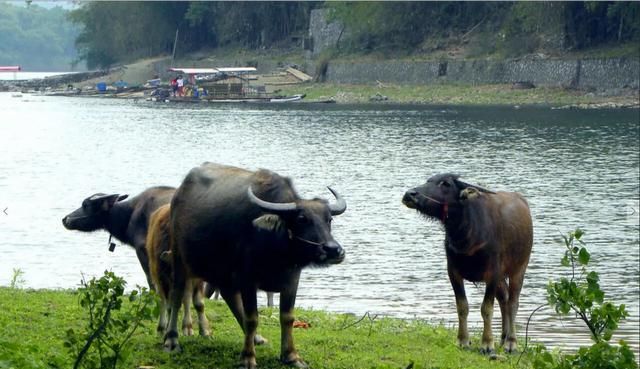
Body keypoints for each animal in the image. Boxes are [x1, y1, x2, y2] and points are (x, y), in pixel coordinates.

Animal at [146, 203, 210, 338]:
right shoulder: (165, 278)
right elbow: (171, 305)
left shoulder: (196, 280)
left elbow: (198, 303)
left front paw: (204, 330)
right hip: (157, 277)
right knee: (163, 301)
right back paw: (162, 327)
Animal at [164, 162, 344, 366]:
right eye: (302, 219)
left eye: (329, 219)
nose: (333, 250)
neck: (276, 249)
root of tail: (178, 195)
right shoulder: (247, 280)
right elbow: (252, 318)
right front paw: (248, 357)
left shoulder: (292, 280)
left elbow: (287, 317)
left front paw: (291, 356)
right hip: (179, 258)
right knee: (177, 295)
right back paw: (171, 340)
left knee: (229, 296)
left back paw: (257, 338)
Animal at [402, 174, 532, 356]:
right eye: (429, 180)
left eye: (445, 183)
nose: (410, 194)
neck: (466, 233)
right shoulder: (453, 272)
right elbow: (462, 306)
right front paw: (463, 341)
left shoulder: (493, 273)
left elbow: (486, 309)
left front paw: (487, 344)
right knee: (504, 299)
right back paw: (503, 338)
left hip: (519, 268)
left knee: (513, 302)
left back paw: (511, 343)